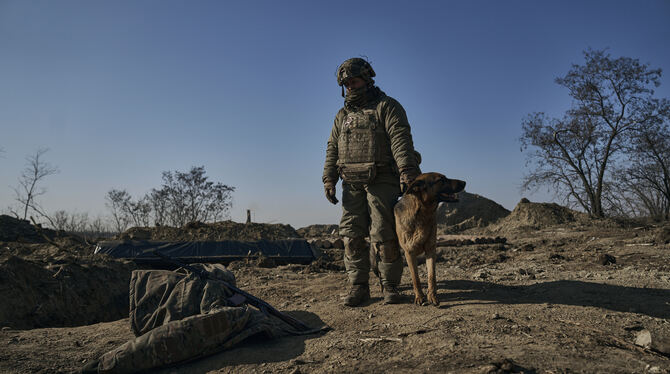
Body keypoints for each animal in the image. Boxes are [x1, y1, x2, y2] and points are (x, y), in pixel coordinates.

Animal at [396, 174, 464, 306]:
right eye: (441, 180)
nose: (464, 182)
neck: (423, 214)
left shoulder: (431, 250)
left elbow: (431, 276)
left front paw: (432, 296)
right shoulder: (409, 253)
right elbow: (415, 278)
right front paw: (419, 297)